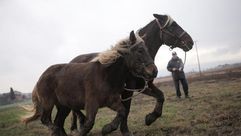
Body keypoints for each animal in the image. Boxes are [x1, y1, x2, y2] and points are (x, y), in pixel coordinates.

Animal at [23, 31, 157, 136]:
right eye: (140, 50)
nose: (154, 71)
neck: (105, 75)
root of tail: (40, 78)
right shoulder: (92, 104)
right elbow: (89, 123)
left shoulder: (112, 101)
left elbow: (122, 112)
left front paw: (107, 128)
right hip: (48, 103)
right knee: (46, 120)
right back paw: (55, 130)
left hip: (63, 106)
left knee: (58, 122)